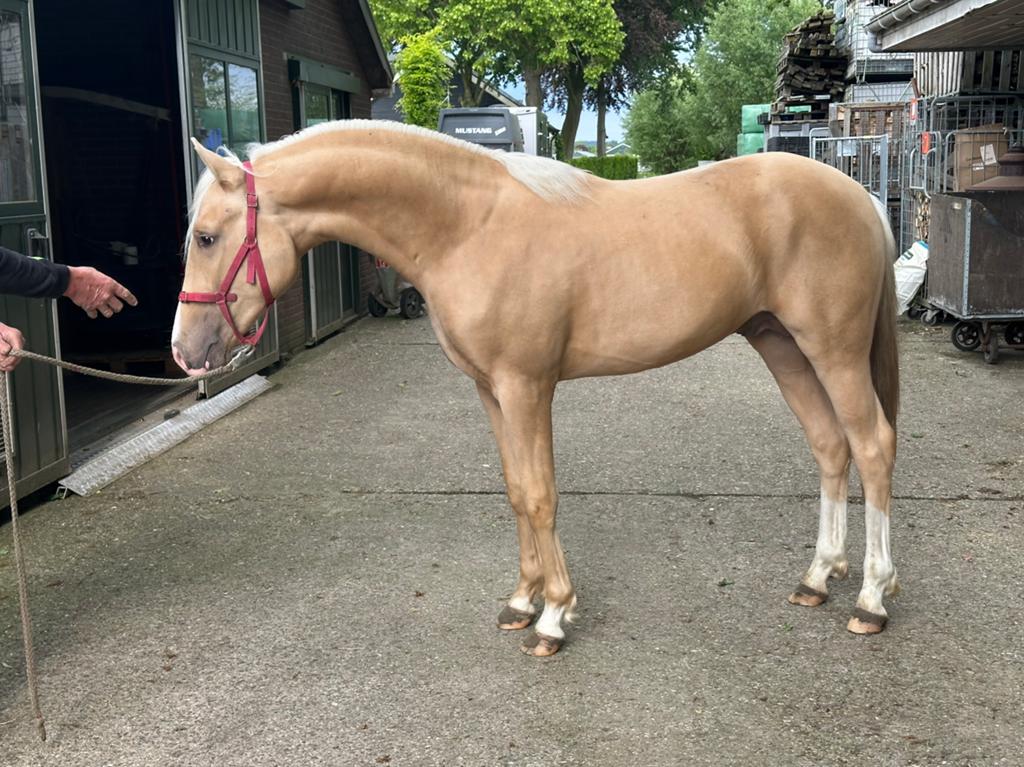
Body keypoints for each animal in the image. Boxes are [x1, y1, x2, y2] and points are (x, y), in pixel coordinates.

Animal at [172, 121, 899, 657]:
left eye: (206, 236)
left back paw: (871, 598)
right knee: (830, 446)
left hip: (831, 351)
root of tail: (859, 196)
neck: (468, 226)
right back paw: (817, 577)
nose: (184, 352)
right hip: (781, 344)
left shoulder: (527, 386)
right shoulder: (491, 391)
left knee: (871, 446)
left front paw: (554, 615)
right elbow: (517, 490)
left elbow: (543, 493)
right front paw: (522, 600)